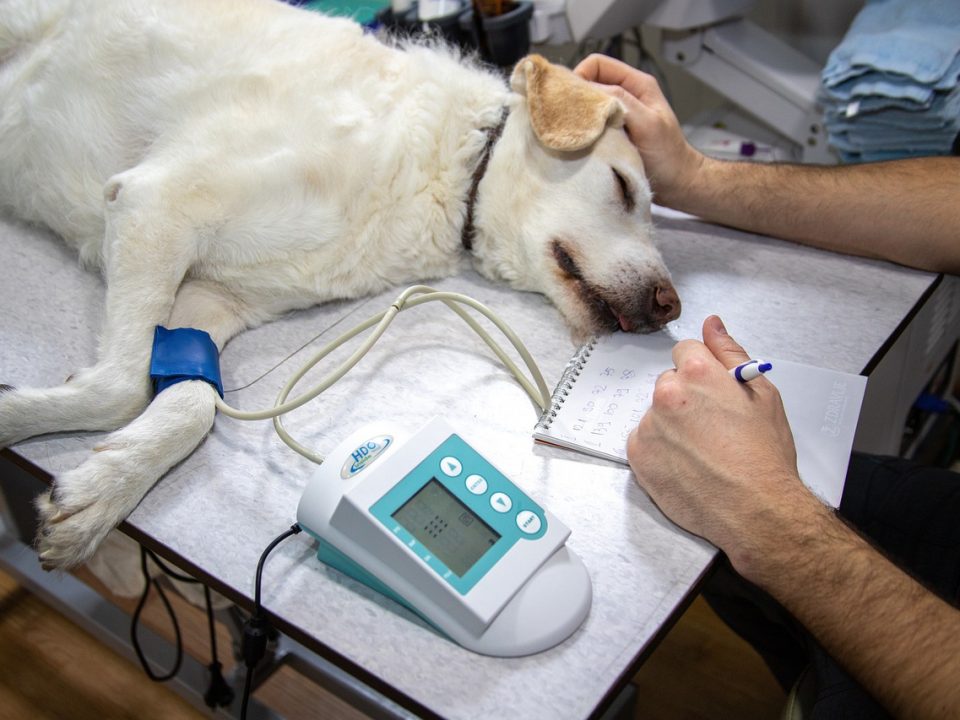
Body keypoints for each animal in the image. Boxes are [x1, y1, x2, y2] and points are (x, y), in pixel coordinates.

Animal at [0, 0, 680, 572]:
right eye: (623, 187)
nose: (671, 307)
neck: (448, 167)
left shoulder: (209, 300)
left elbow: (189, 402)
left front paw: (103, 488)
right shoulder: (156, 204)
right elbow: (121, 388)